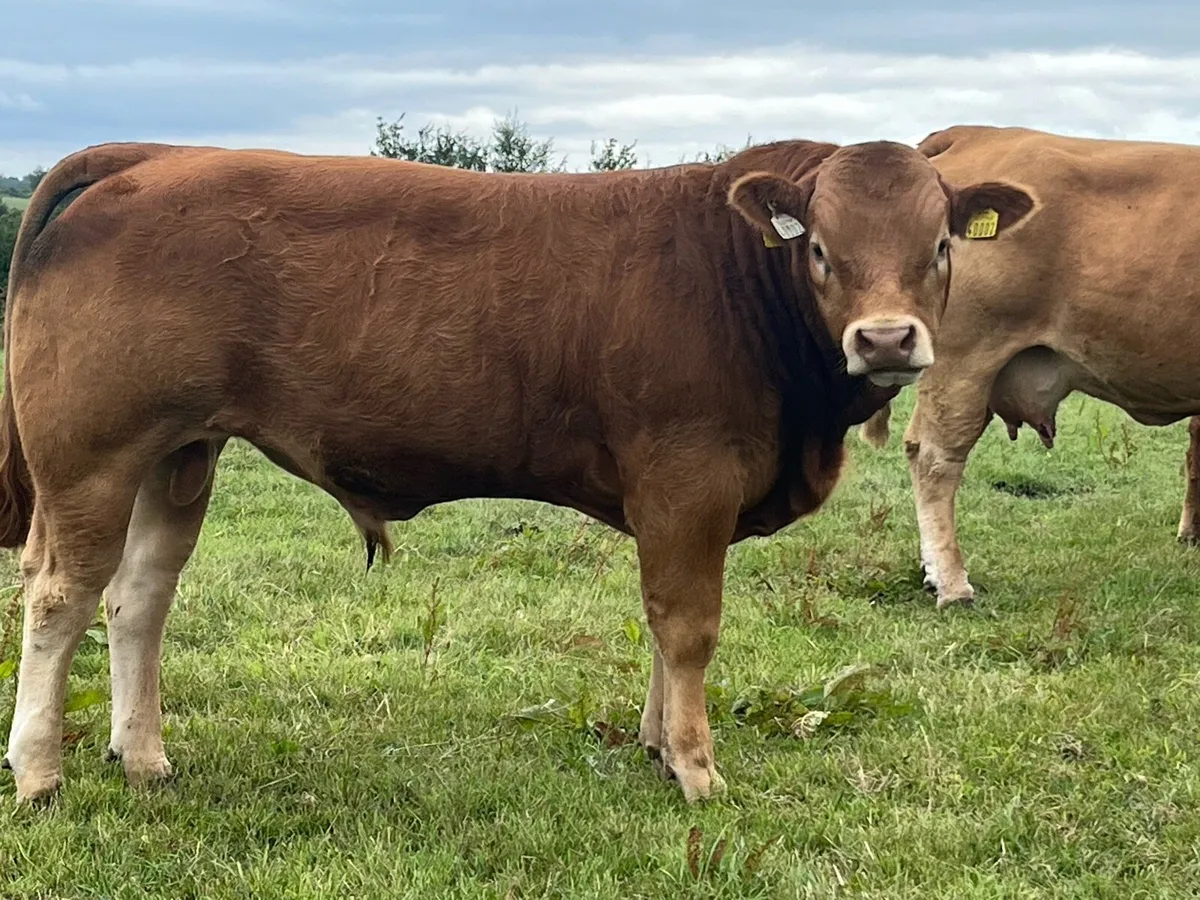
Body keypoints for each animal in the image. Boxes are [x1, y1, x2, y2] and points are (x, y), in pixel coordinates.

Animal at [0, 137, 1033, 804]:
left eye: (941, 245)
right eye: (819, 248)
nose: (887, 338)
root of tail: (150, 158)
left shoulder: (676, 504)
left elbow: (660, 627)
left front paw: (659, 746)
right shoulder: (687, 480)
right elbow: (688, 627)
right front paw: (697, 770)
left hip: (178, 453)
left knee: (139, 599)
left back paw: (143, 758)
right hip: (90, 457)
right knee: (59, 598)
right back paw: (39, 771)